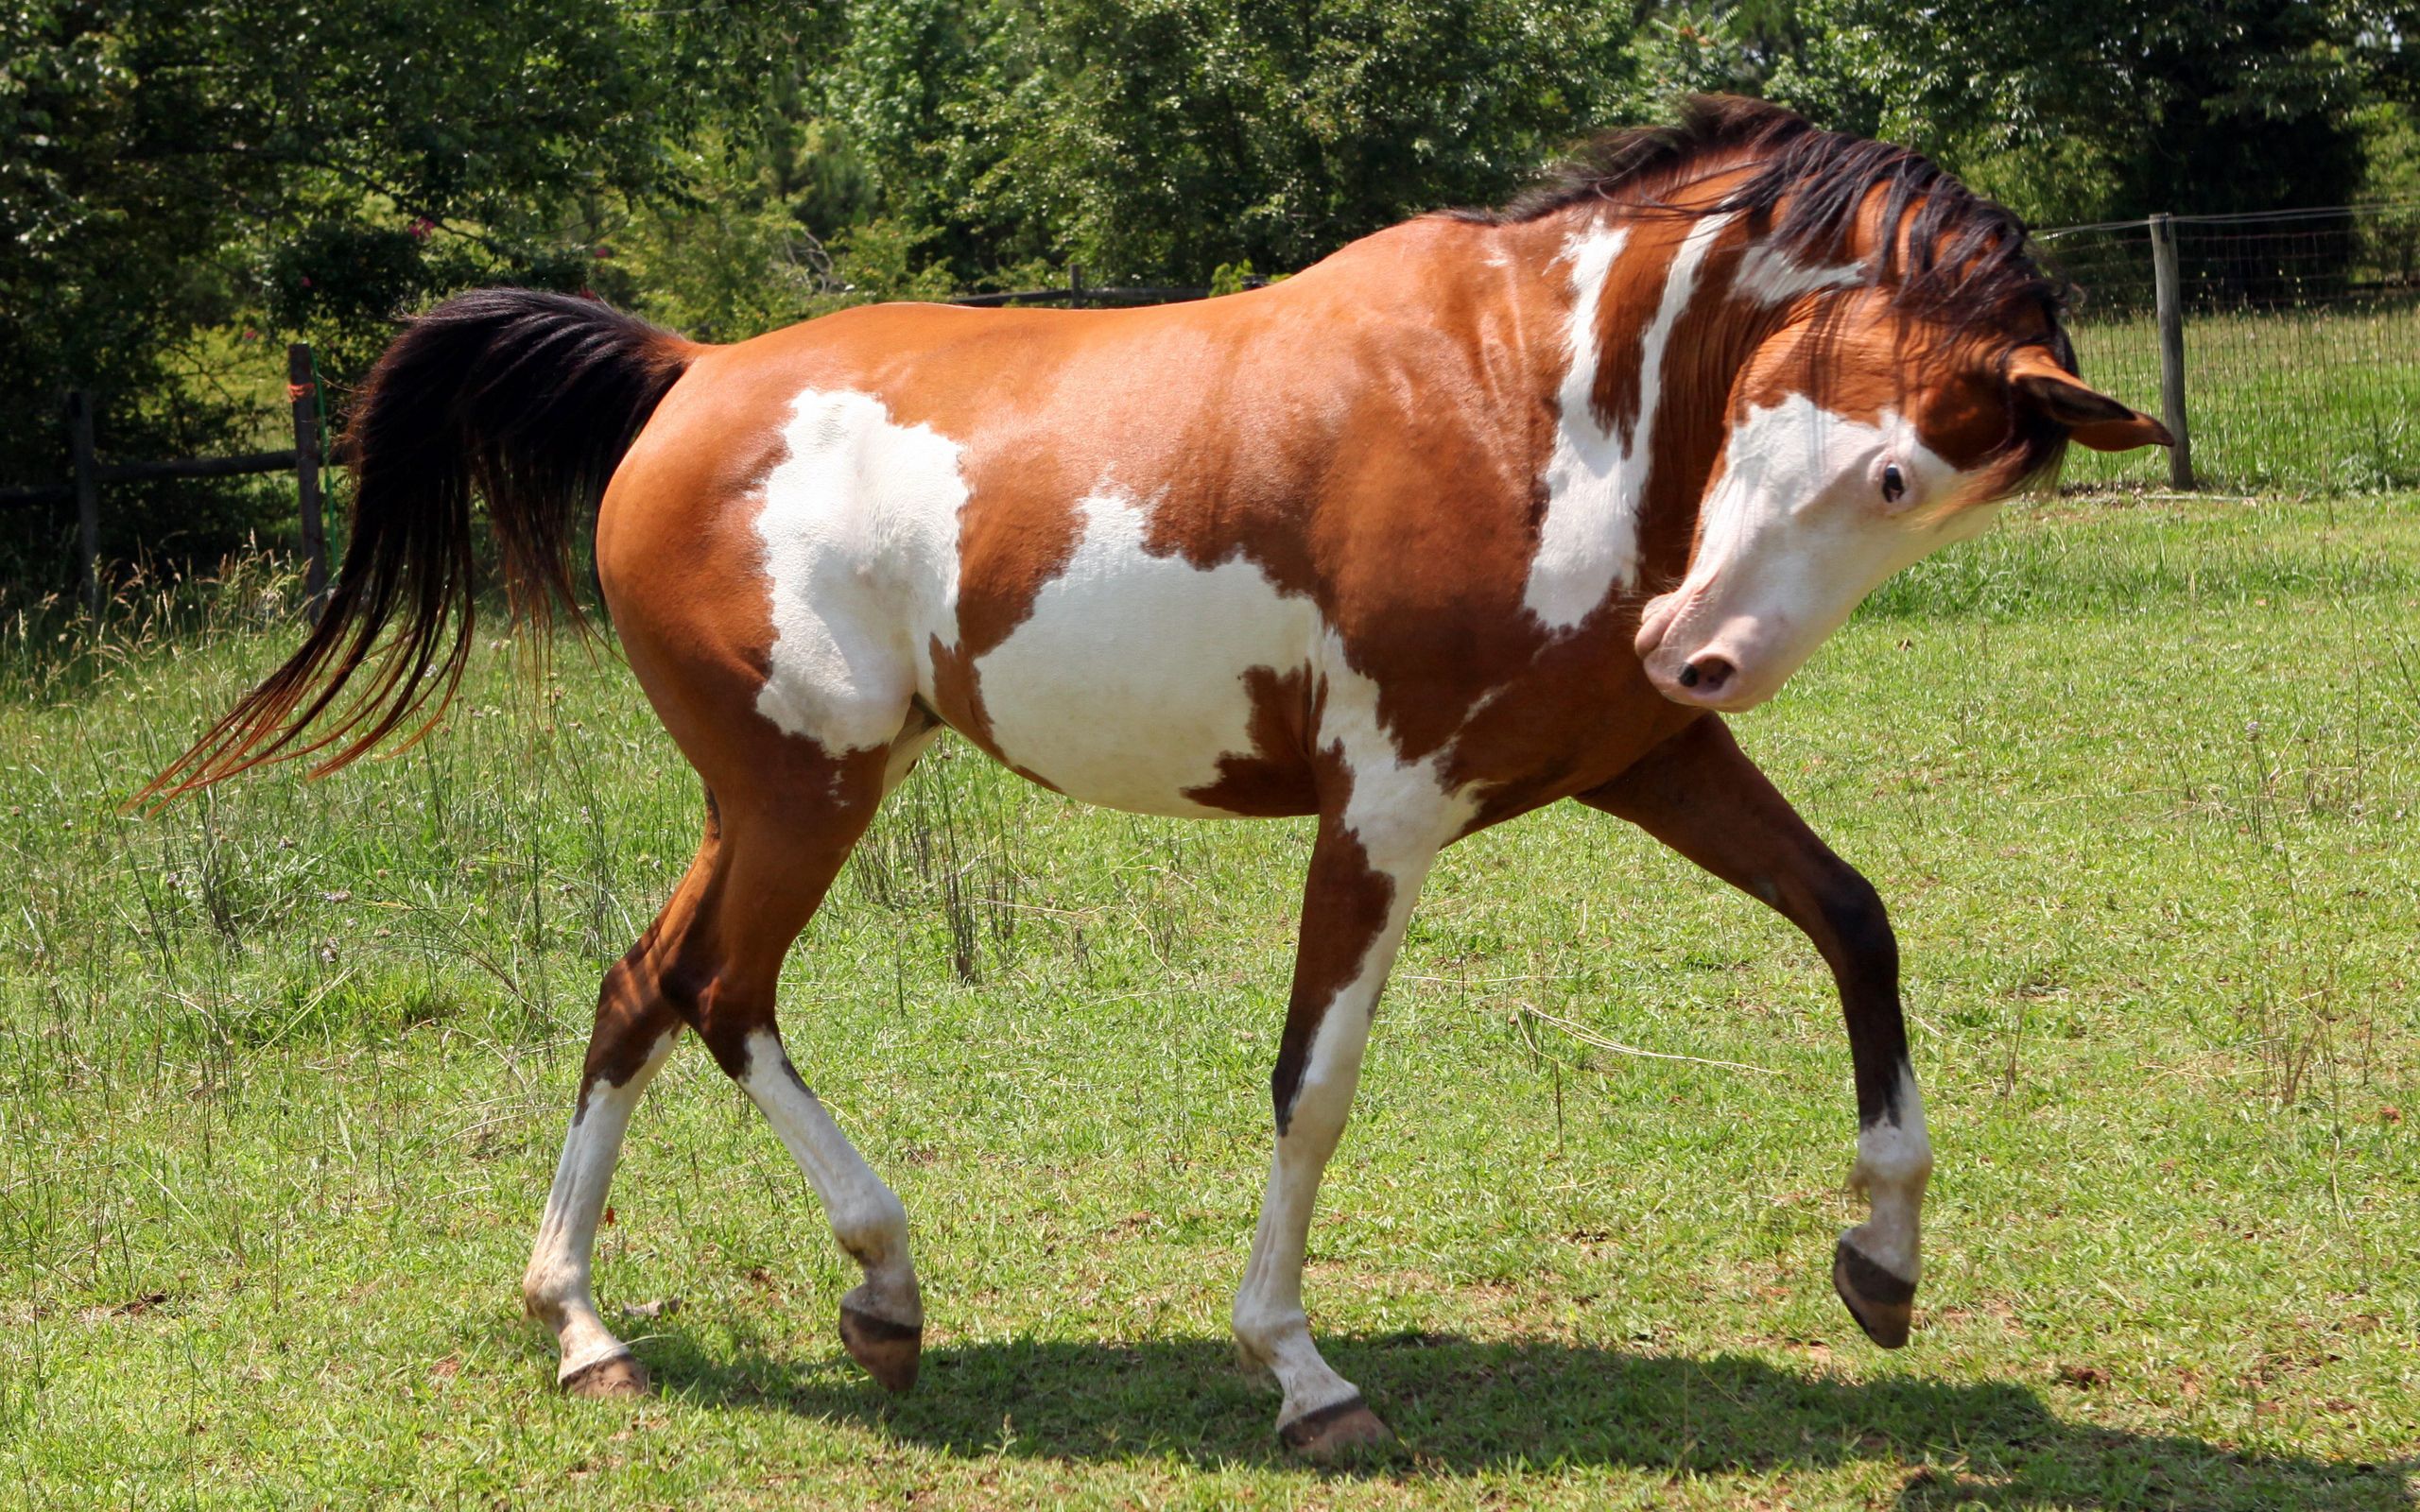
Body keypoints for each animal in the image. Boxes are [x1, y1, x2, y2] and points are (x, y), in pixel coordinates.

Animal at [156, 97, 2178, 1452]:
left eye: (1932, 495)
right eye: (1880, 465)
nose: (1704, 647)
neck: (1536, 402)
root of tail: (688, 371)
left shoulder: (1649, 762)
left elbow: (1856, 923)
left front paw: (1883, 1263)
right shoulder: (1389, 805)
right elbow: (1314, 1085)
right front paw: (1300, 1371)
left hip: (770, 793)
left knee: (640, 987)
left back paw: (590, 1325)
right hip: (807, 790)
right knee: (722, 992)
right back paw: (878, 1286)